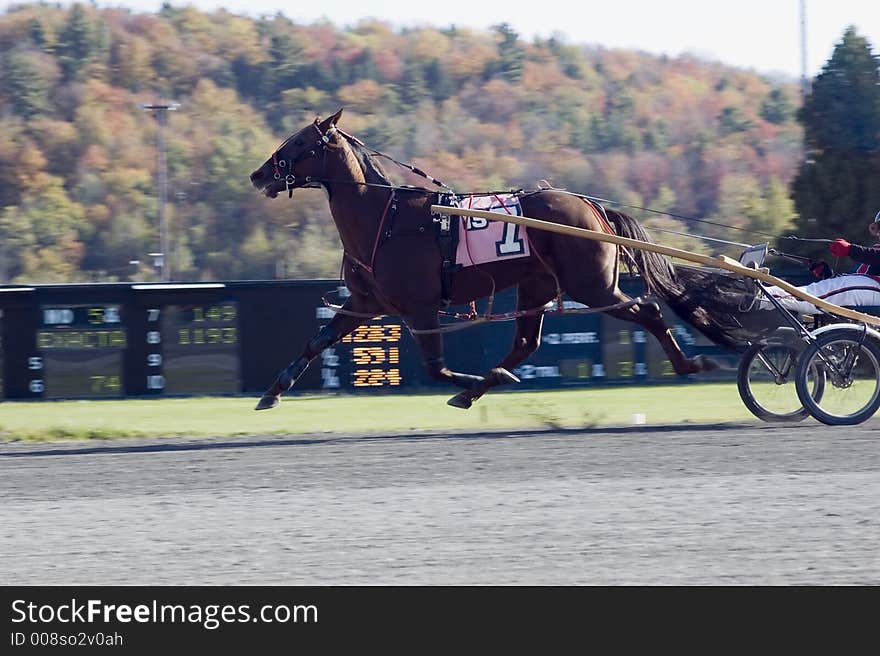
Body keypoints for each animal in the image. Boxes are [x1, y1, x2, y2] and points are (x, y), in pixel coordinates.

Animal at [249, 111, 736, 412]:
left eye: (300, 142)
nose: (258, 174)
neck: (384, 219)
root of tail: (589, 206)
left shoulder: (420, 307)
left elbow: (436, 366)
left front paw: (470, 382)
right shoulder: (366, 302)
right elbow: (316, 341)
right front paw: (272, 392)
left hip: (590, 284)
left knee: (648, 310)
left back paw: (691, 365)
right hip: (539, 284)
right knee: (526, 343)